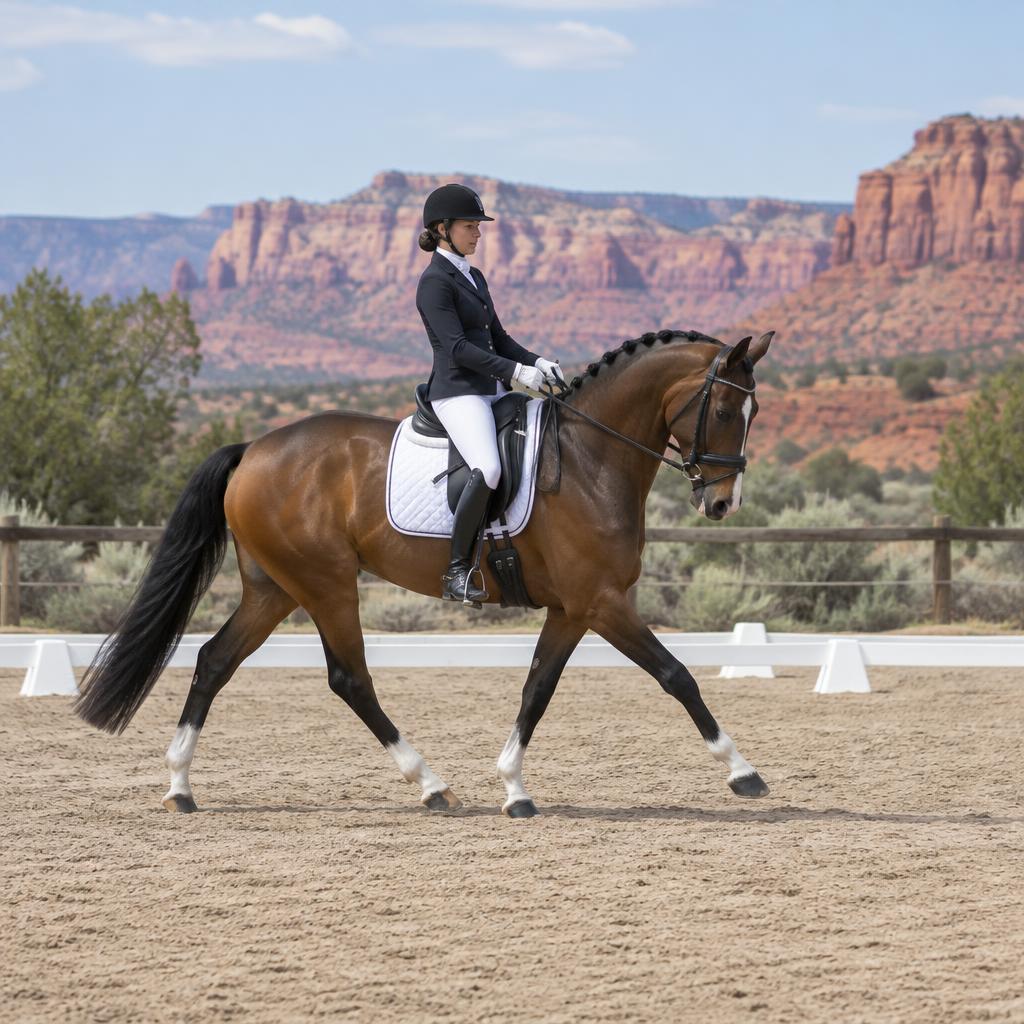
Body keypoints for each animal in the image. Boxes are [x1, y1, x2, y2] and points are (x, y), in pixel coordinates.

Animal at [74, 328, 774, 818]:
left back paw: (180, 785)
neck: (590, 459)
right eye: (722, 411)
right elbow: (676, 675)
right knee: (349, 679)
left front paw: (514, 788)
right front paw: (743, 772)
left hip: (274, 588)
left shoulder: (573, 608)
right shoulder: (602, 602)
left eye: (754, 415)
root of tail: (253, 450)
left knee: (214, 661)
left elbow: (537, 689)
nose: (722, 504)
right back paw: (431, 784)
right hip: (325, 583)